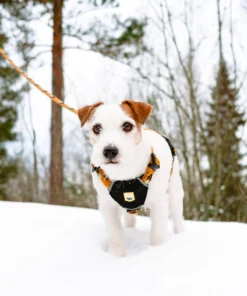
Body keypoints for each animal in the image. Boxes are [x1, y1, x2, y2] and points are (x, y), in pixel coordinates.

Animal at [78, 100, 184, 256]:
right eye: (97, 128)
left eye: (127, 125)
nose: (110, 150)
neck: (124, 174)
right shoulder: (107, 205)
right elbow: (115, 232)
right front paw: (116, 255)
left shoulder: (159, 203)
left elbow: (157, 233)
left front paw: (156, 251)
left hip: (175, 190)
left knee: (177, 216)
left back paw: (180, 234)